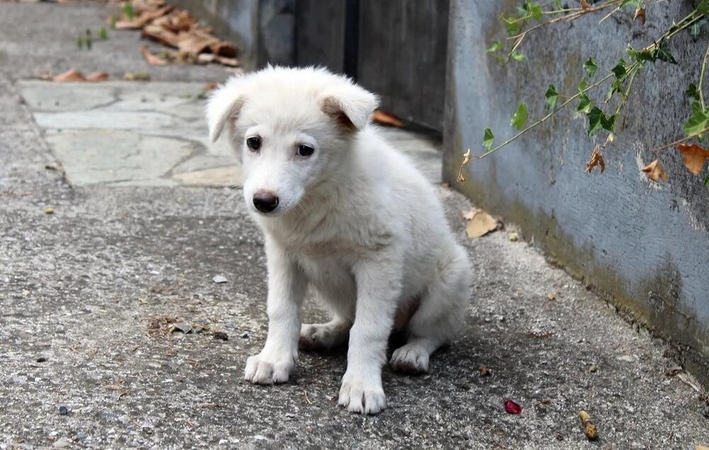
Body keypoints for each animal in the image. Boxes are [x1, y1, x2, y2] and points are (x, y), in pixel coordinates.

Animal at [205, 67, 470, 414]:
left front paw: (361, 384)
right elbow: (281, 310)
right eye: (254, 142)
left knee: (433, 332)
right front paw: (274, 358)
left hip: (449, 280)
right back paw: (324, 333)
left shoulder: (379, 259)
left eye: (305, 150)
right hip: (334, 289)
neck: (319, 195)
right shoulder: (283, 254)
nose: (263, 202)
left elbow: (368, 329)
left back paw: (413, 353)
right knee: (348, 318)